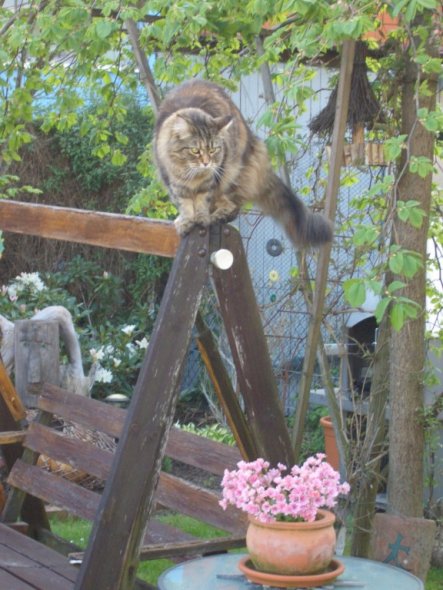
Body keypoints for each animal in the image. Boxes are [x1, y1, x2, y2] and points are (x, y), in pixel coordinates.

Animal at [156, 80, 332, 246]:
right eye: (195, 151)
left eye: (213, 150)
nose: (206, 163)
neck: (193, 175)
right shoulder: (173, 182)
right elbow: (184, 203)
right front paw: (186, 221)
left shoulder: (210, 181)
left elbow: (202, 201)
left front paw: (201, 218)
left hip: (233, 173)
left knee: (233, 205)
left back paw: (218, 216)